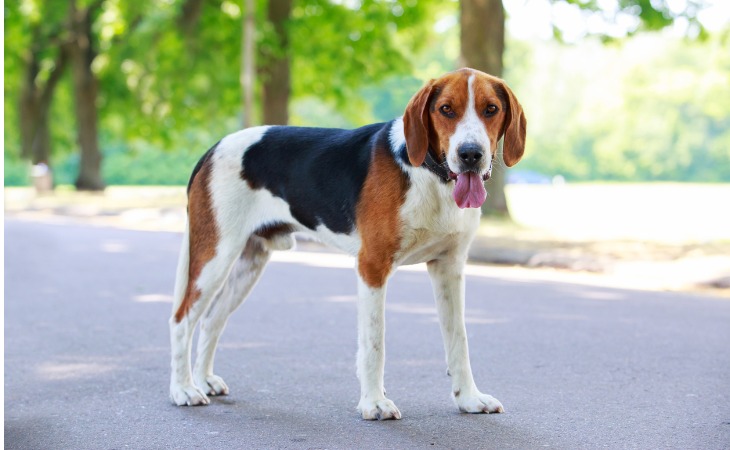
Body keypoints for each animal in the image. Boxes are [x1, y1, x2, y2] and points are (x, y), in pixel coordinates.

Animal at [169, 67, 524, 418]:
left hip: (248, 263)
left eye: (491, 109)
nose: (470, 154)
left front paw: (469, 398)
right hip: (214, 258)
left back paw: (204, 380)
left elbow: (459, 341)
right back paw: (184, 389)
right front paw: (374, 403)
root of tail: (213, 148)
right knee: (181, 320)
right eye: (446, 109)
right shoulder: (372, 266)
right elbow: (374, 343)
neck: (431, 176)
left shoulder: (449, 268)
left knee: (212, 319)